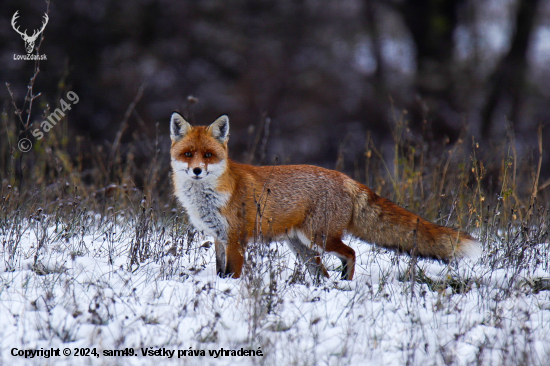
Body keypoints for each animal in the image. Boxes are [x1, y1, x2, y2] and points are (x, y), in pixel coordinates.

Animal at [169, 113, 484, 282]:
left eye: (208, 155)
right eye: (188, 154)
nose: (197, 170)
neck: (208, 199)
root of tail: (345, 178)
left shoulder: (236, 239)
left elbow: (233, 274)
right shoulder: (219, 238)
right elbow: (220, 271)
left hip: (318, 238)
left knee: (351, 253)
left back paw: (346, 284)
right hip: (303, 248)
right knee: (324, 273)